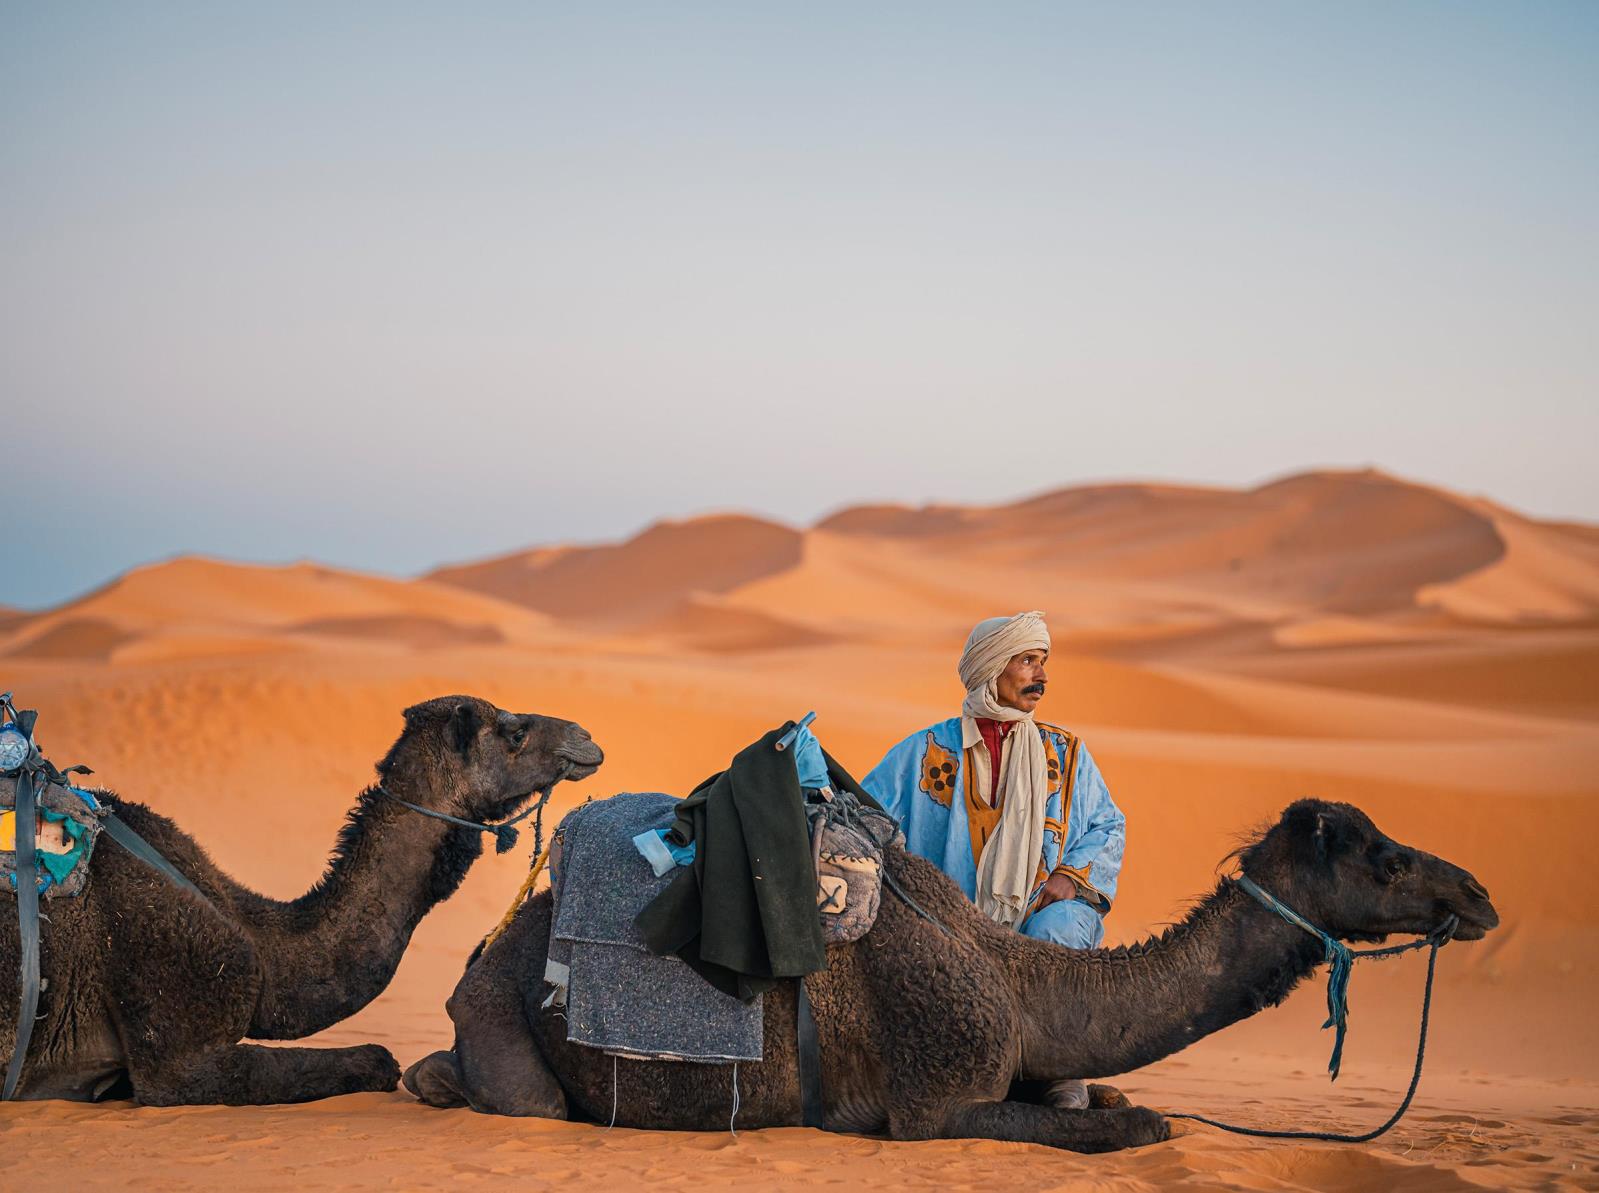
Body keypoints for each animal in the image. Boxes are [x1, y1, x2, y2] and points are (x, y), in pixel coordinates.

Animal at [404, 798, 1498, 1153]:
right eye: (1381, 857)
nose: (1478, 892)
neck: (1020, 986)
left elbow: (1116, 1098)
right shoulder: (936, 1100)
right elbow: (1138, 1124)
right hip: (501, 1014)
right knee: (519, 1096)